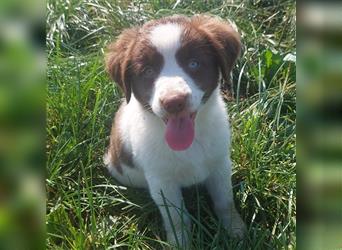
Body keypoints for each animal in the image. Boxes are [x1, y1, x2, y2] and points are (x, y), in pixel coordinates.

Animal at [104, 14, 246, 247]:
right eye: (148, 71)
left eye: (194, 63)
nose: (174, 102)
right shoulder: (162, 182)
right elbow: (176, 217)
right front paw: (181, 242)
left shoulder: (220, 164)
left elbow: (225, 201)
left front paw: (235, 230)